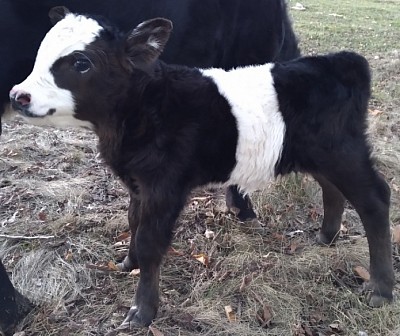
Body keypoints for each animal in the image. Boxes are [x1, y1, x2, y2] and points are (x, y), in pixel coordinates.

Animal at [9, 7, 394, 328]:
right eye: (41, 51)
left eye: (82, 63)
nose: (17, 95)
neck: (143, 106)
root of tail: (339, 60)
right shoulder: (138, 183)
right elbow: (133, 221)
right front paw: (128, 264)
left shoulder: (165, 186)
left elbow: (150, 240)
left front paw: (142, 312)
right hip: (317, 155)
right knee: (332, 188)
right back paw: (326, 237)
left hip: (343, 152)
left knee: (375, 199)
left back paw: (381, 289)